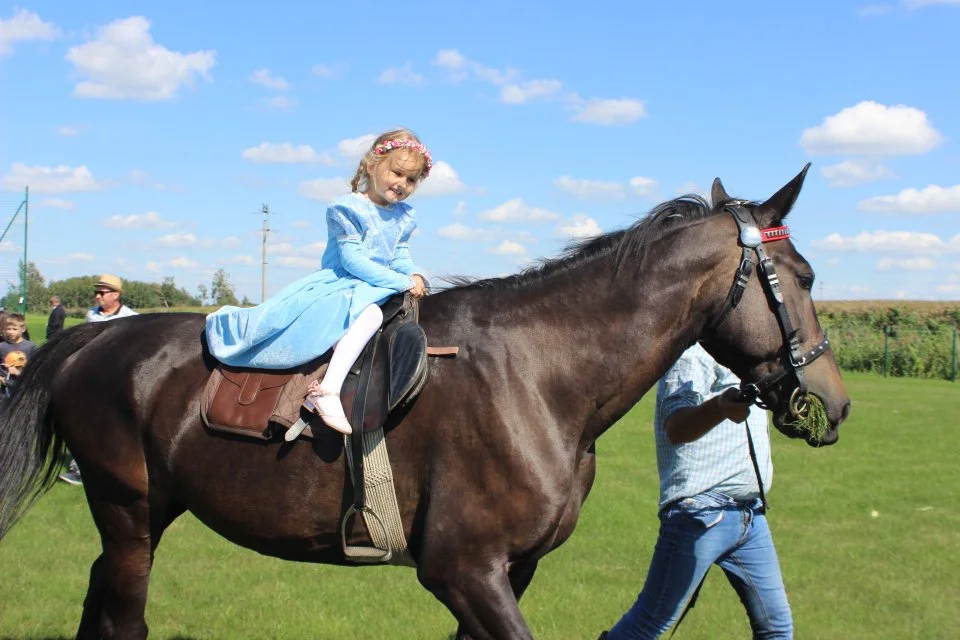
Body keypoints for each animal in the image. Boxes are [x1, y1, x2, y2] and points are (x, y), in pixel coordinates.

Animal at [1, 168, 856, 636]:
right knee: (123, 617)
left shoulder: (510, 573)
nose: (832, 401)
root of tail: (95, 340)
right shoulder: (463, 570)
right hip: (128, 512)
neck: (540, 377)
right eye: (805, 278)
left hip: (144, 516)